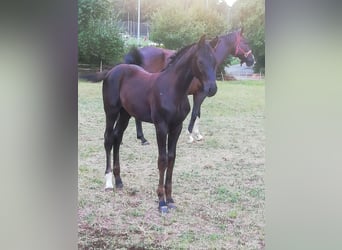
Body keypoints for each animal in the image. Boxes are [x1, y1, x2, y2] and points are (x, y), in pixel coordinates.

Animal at [81, 34, 218, 211]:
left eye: (215, 61)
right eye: (200, 61)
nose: (212, 89)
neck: (173, 89)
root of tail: (111, 71)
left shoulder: (176, 127)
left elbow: (172, 158)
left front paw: (170, 199)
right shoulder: (161, 126)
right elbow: (162, 160)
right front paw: (161, 201)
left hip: (125, 114)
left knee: (118, 137)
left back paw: (119, 181)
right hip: (111, 111)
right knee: (108, 139)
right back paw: (109, 182)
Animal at [127, 28, 255, 145]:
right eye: (246, 42)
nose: (252, 60)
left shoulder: (197, 94)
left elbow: (198, 113)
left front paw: (197, 134)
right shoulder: (201, 94)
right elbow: (194, 114)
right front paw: (189, 135)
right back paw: (142, 138)